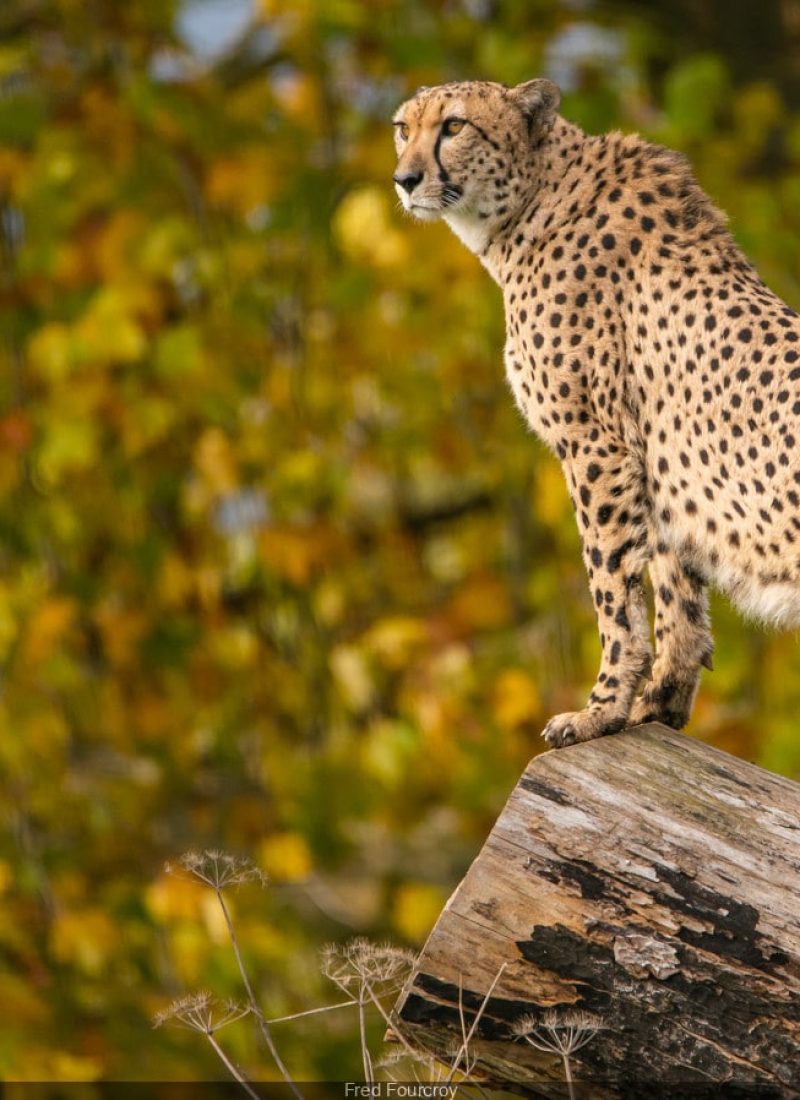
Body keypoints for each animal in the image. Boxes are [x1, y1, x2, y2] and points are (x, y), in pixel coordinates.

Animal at [391, 77, 800, 748]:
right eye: (403, 128)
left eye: (453, 126)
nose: (404, 178)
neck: (529, 204)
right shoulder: (659, 463)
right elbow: (676, 595)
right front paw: (656, 705)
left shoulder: (596, 445)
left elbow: (612, 589)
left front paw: (599, 711)